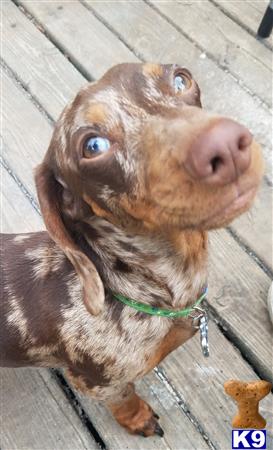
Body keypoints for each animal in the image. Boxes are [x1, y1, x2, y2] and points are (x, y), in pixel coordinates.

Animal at [0, 62, 264, 436]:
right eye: (92, 145)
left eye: (181, 79)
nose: (227, 145)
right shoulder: (97, 382)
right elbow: (124, 398)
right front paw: (139, 418)